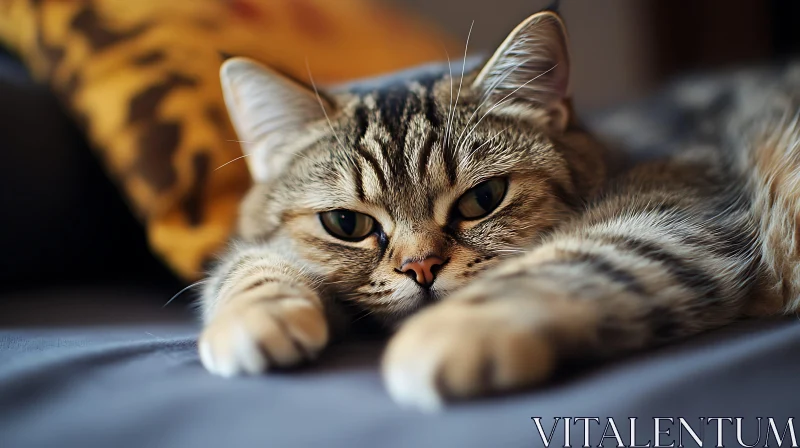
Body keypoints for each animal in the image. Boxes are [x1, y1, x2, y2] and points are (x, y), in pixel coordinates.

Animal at [195, 10, 800, 412]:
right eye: (347, 224)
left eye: (483, 200)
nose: (420, 269)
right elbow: (247, 262)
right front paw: (254, 316)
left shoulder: (676, 219)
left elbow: (564, 261)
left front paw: (445, 334)